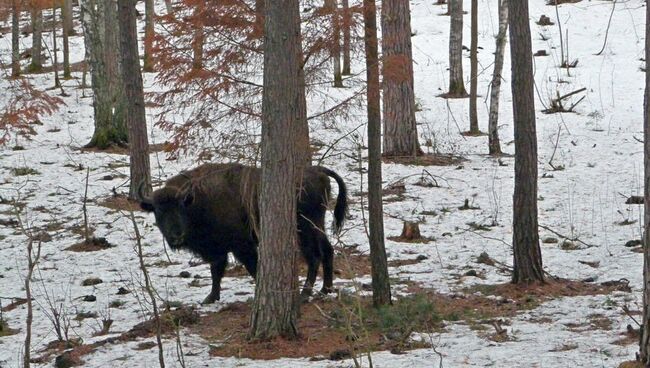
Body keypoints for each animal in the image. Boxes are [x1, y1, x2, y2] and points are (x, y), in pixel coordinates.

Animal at [139, 162, 346, 304]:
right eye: (158, 210)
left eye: (181, 207)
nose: (176, 234)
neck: (198, 200)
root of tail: (318, 171)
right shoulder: (219, 250)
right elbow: (216, 271)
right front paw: (210, 298)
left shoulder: (242, 246)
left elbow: (251, 268)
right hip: (317, 226)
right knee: (327, 250)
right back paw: (325, 290)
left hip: (305, 230)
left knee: (314, 256)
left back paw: (305, 294)